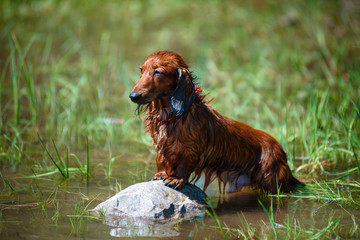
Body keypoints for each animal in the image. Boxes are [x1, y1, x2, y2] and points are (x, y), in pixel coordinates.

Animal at [129, 50, 300, 193]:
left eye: (158, 72)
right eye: (141, 70)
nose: (133, 96)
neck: (171, 116)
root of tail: (281, 151)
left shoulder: (191, 150)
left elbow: (184, 166)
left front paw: (177, 179)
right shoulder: (161, 145)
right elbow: (161, 159)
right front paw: (162, 173)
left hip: (270, 179)